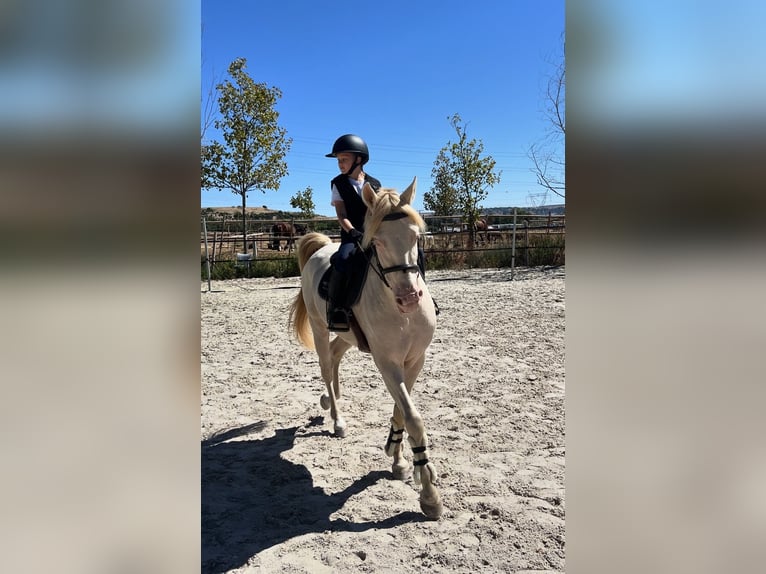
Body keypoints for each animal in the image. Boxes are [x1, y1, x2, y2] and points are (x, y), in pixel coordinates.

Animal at [288, 177, 443, 520]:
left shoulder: (415, 360)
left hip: (347, 337)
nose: (409, 298)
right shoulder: (387, 363)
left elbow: (401, 413)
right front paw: (429, 495)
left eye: (415, 237)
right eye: (379, 242)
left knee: (335, 356)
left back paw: (329, 401)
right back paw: (337, 419)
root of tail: (322, 248)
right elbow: (413, 418)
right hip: (319, 328)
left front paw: (397, 459)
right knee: (324, 365)